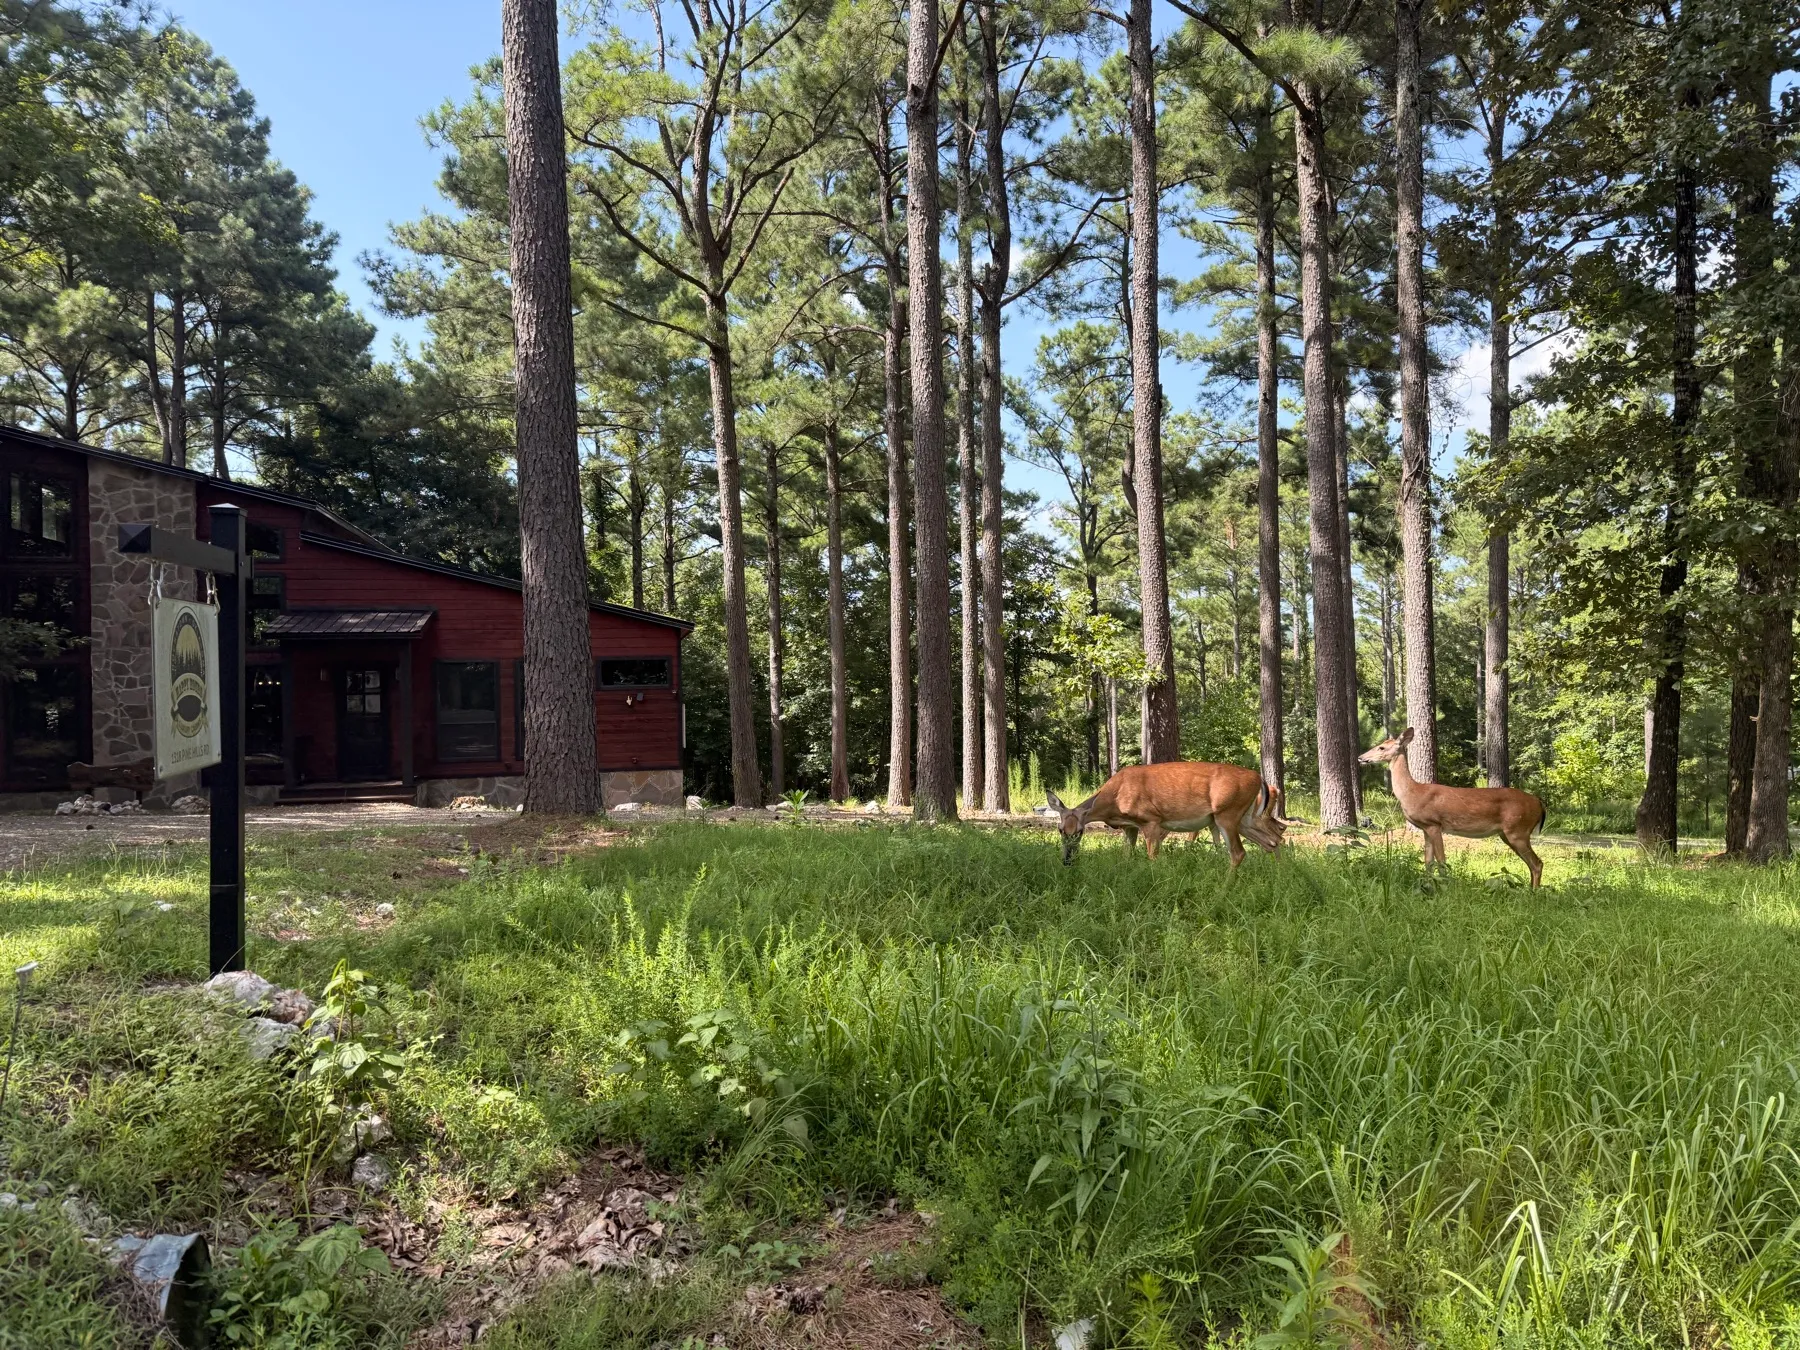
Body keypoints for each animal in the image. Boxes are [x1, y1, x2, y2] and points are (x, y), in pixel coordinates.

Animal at [1046, 761, 1289, 868]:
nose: (1067, 860)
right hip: (1245, 819)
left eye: (1080, 831)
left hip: (1227, 814)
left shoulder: (1151, 820)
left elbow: (1153, 858)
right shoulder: (1129, 827)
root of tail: (1259, 778)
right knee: (1272, 841)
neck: (1114, 799)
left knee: (1240, 852)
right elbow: (1126, 857)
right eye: (1060, 829)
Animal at [1357, 727, 1548, 887]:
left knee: (1537, 863)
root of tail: (1538, 802)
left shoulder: (1434, 824)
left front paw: (1444, 887)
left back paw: (1533, 893)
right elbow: (1428, 862)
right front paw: (1428, 886)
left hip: (1518, 830)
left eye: (1381, 747)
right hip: (1508, 833)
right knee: (1532, 864)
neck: (1413, 792)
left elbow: (1441, 860)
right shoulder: (1426, 828)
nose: (1360, 757)